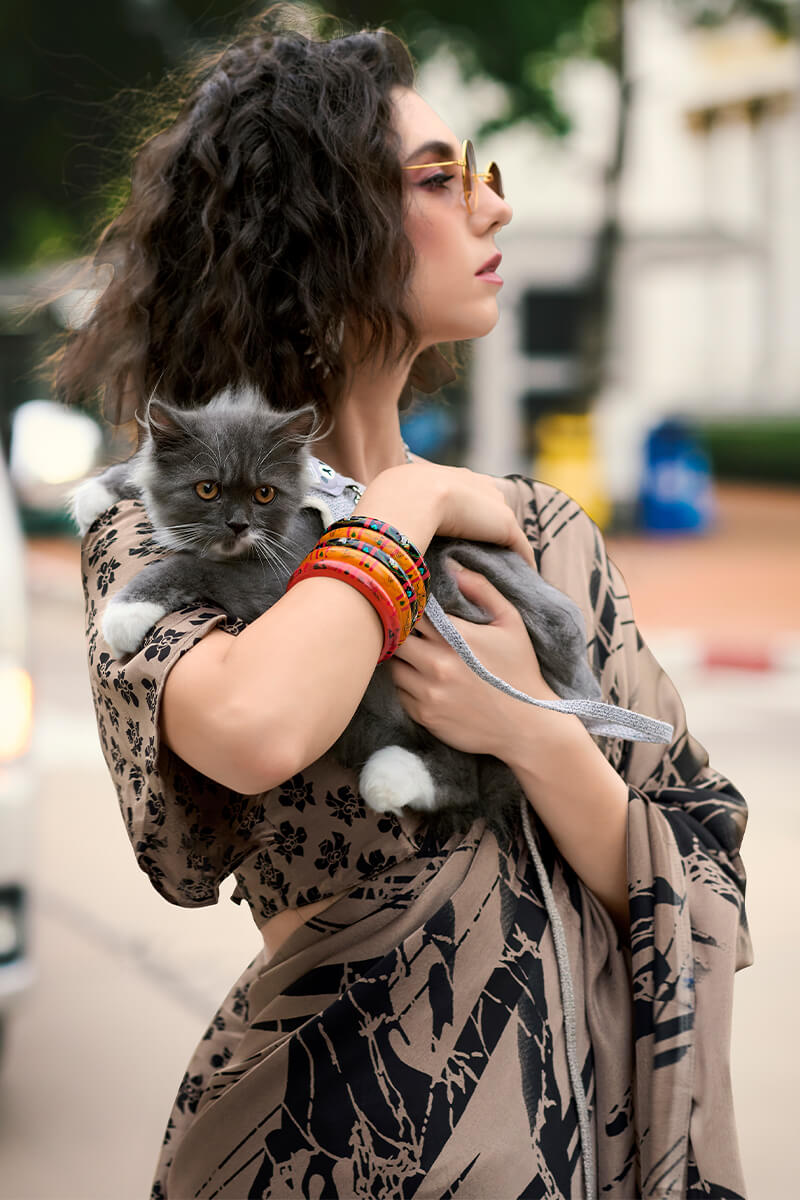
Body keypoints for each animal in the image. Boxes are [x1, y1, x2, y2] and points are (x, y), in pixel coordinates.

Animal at [73, 388, 599, 840]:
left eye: (264, 494)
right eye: (207, 489)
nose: (238, 524)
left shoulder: (278, 577)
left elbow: (196, 564)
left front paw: (127, 611)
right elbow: (145, 470)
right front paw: (98, 490)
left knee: (469, 770)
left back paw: (391, 778)